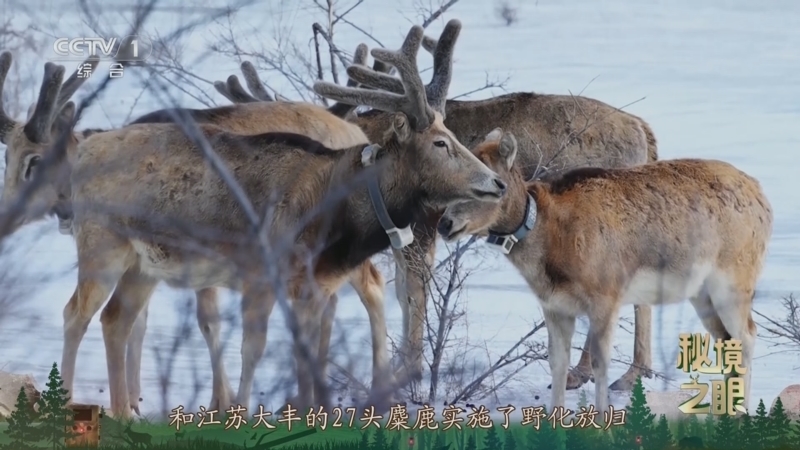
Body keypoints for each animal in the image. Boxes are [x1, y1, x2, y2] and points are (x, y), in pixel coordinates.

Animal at [64, 22, 505, 419]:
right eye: (441, 142)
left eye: (453, 134)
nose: (497, 182)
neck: (333, 214)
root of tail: (84, 150)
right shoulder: (262, 272)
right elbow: (252, 347)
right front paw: (238, 413)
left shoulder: (313, 286)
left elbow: (303, 353)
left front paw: (310, 411)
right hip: (102, 245)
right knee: (77, 313)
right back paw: (69, 404)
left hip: (143, 265)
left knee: (116, 320)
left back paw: (124, 413)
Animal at [218, 21, 660, 394]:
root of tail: (645, 129)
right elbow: (400, 291)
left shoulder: (421, 224)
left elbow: (414, 291)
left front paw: (408, 371)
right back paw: (626, 372)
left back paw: (595, 372)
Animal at [435, 128, 772, 416]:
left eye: (495, 184)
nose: (445, 224)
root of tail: (764, 201)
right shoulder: (555, 306)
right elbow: (557, 362)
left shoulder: (605, 297)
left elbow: (599, 362)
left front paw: (601, 418)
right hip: (702, 294)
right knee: (727, 341)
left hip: (734, 281)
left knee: (748, 335)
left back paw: (742, 410)